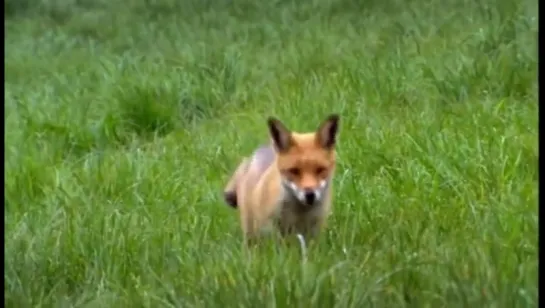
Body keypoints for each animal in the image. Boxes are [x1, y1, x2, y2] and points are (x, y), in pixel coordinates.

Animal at [223, 114, 338, 244]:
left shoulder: (314, 231)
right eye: (294, 171)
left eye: (320, 169)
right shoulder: (272, 230)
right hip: (251, 231)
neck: (299, 215)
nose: (310, 195)